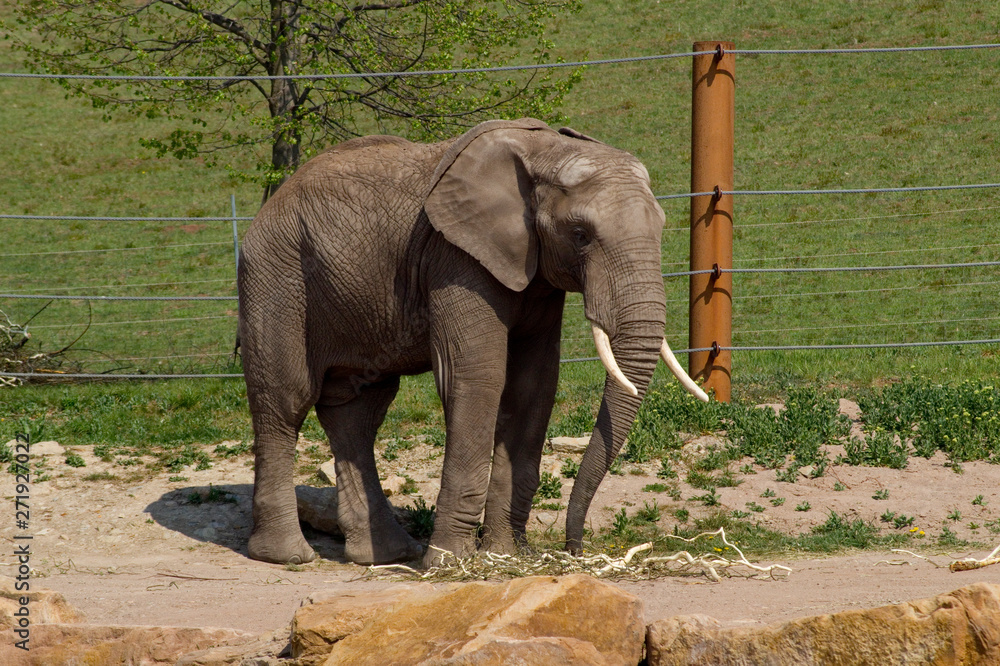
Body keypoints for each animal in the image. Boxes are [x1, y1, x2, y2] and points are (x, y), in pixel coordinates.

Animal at [237, 118, 708, 568]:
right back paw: (287, 556)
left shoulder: (533, 273)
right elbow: (478, 377)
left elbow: (534, 385)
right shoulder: (456, 257)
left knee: (358, 411)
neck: (547, 151)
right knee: (286, 401)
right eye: (580, 234)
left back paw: (386, 556)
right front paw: (450, 561)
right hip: (276, 272)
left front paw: (507, 554)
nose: (574, 549)